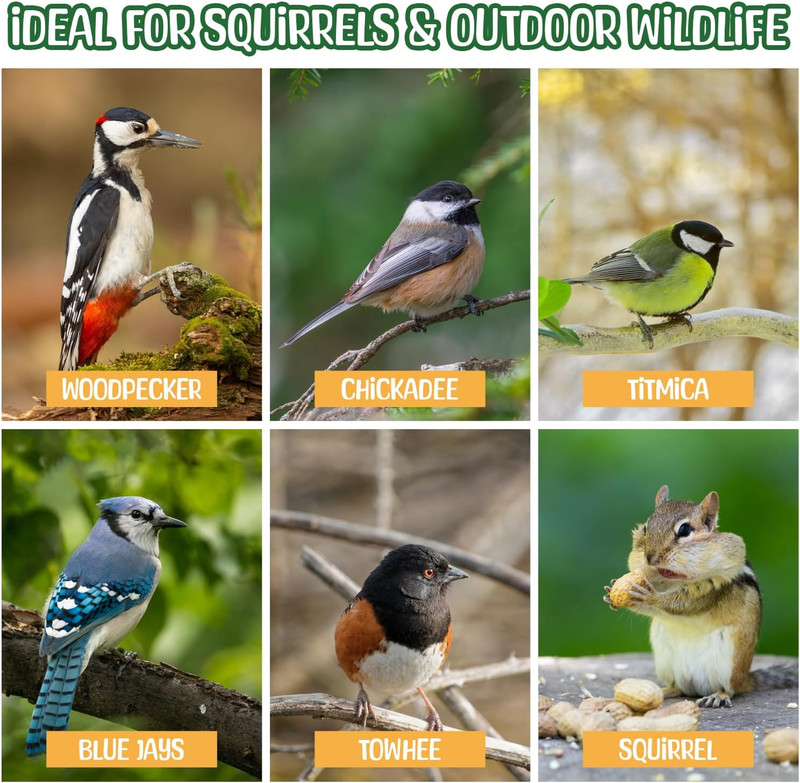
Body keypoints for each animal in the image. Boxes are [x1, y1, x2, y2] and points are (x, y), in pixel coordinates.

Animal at [604, 485, 796, 708]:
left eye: (684, 530)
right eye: (645, 527)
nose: (650, 557)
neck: (675, 581)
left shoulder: (712, 587)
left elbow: (685, 603)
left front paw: (649, 595)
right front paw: (612, 592)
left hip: (730, 661)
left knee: (731, 688)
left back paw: (718, 695)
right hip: (665, 661)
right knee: (677, 687)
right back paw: (663, 690)